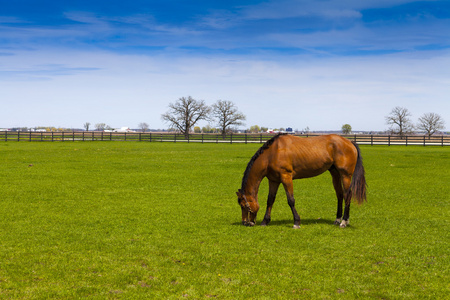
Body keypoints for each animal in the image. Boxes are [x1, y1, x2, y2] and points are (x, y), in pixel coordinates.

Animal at [236, 132, 366, 229]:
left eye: (243, 205)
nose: (245, 222)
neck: (272, 153)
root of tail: (349, 142)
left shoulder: (286, 177)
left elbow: (291, 200)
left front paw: (296, 222)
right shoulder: (274, 180)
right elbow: (270, 200)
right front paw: (265, 221)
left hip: (346, 175)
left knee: (347, 195)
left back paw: (344, 221)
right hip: (335, 174)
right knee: (340, 195)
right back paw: (338, 219)